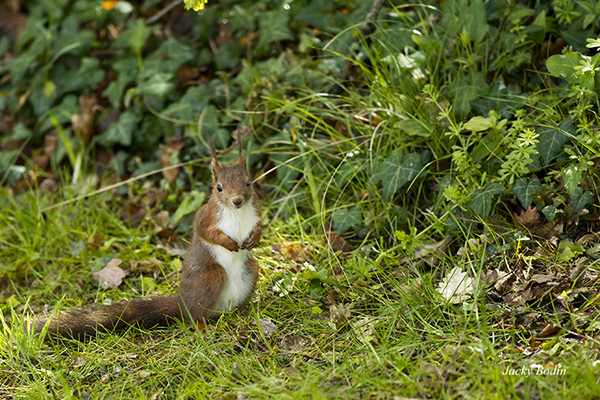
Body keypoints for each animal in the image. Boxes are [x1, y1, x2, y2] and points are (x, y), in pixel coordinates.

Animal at [33, 134, 262, 338]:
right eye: (219, 187)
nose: (237, 200)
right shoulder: (206, 216)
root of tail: (183, 302)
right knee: (195, 314)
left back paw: (244, 311)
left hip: (251, 270)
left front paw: (254, 238)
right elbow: (204, 232)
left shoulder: (256, 212)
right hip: (210, 277)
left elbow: (259, 226)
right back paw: (201, 326)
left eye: (248, 182)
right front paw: (227, 242)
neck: (236, 213)